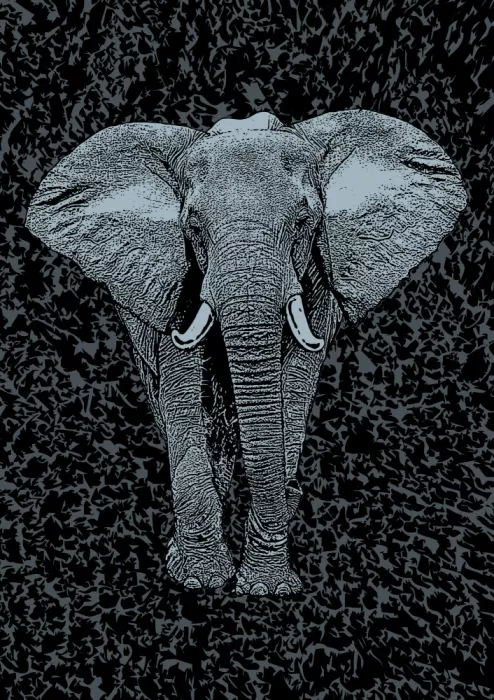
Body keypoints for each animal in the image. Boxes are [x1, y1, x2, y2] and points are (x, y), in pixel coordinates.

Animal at [25, 110, 467, 596]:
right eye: (193, 228)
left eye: (304, 222)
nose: (295, 490)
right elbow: (185, 392)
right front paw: (199, 579)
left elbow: (292, 388)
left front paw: (267, 589)